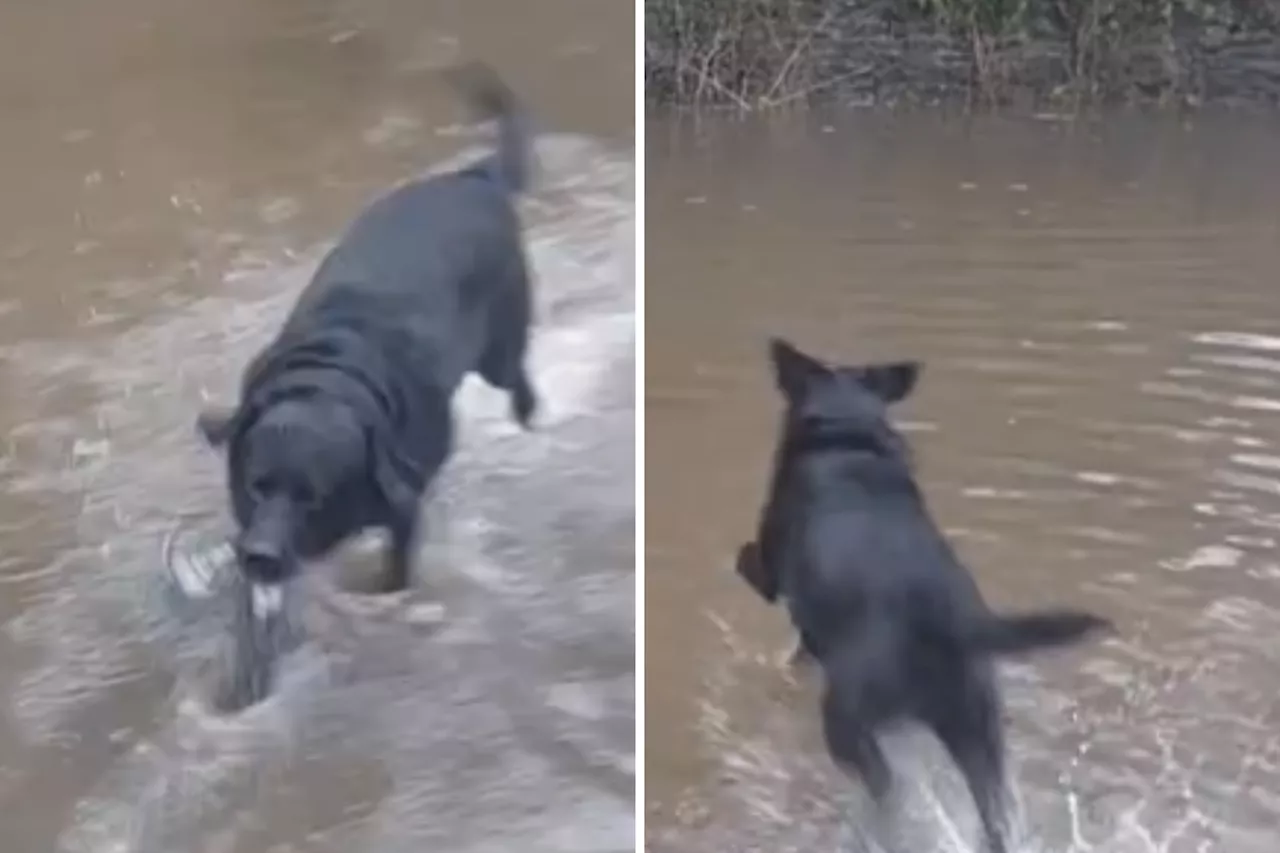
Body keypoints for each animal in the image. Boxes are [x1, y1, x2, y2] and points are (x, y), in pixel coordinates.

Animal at [197, 61, 537, 701]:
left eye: (313, 495)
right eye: (256, 484)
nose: (261, 556)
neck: (327, 380)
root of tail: (473, 177)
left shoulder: (403, 511)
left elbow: (395, 573)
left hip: (499, 352)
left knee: (519, 376)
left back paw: (530, 413)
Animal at [737, 335, 1116, 850]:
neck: (846, 434)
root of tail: (945, 614)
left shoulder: (773, 568)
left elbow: (750, 562)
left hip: (849, 722)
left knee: (886, 789)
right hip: (979, 733)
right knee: (996, 815)